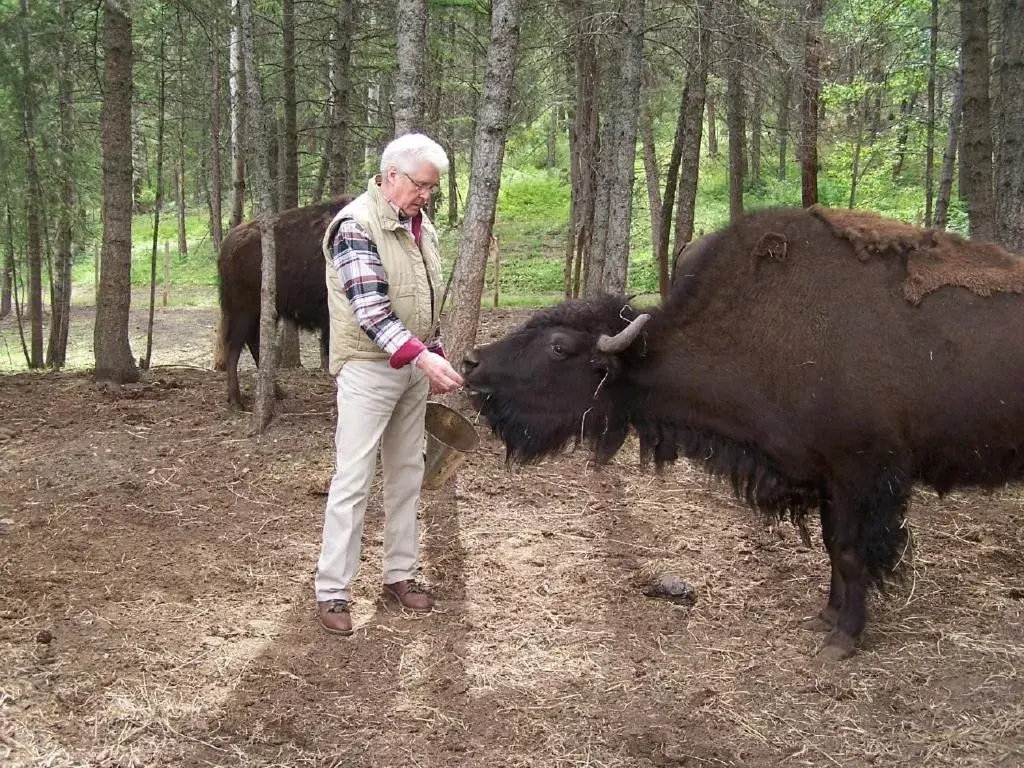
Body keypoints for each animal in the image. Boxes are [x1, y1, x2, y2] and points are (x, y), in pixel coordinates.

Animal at [218, 195, 354, 409]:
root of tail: (227, 244)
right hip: (243, 311)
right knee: (235, 347)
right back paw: (237, 402)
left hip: (259, 313)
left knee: (254, 344)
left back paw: (277, 392)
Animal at [462, 205, 1024, 663]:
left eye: (558, 348)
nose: (472, 363)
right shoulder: (827, 478)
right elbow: (833, 546)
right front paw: (826, 617)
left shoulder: (862, 473)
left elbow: (851, 552)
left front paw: (842, 639)